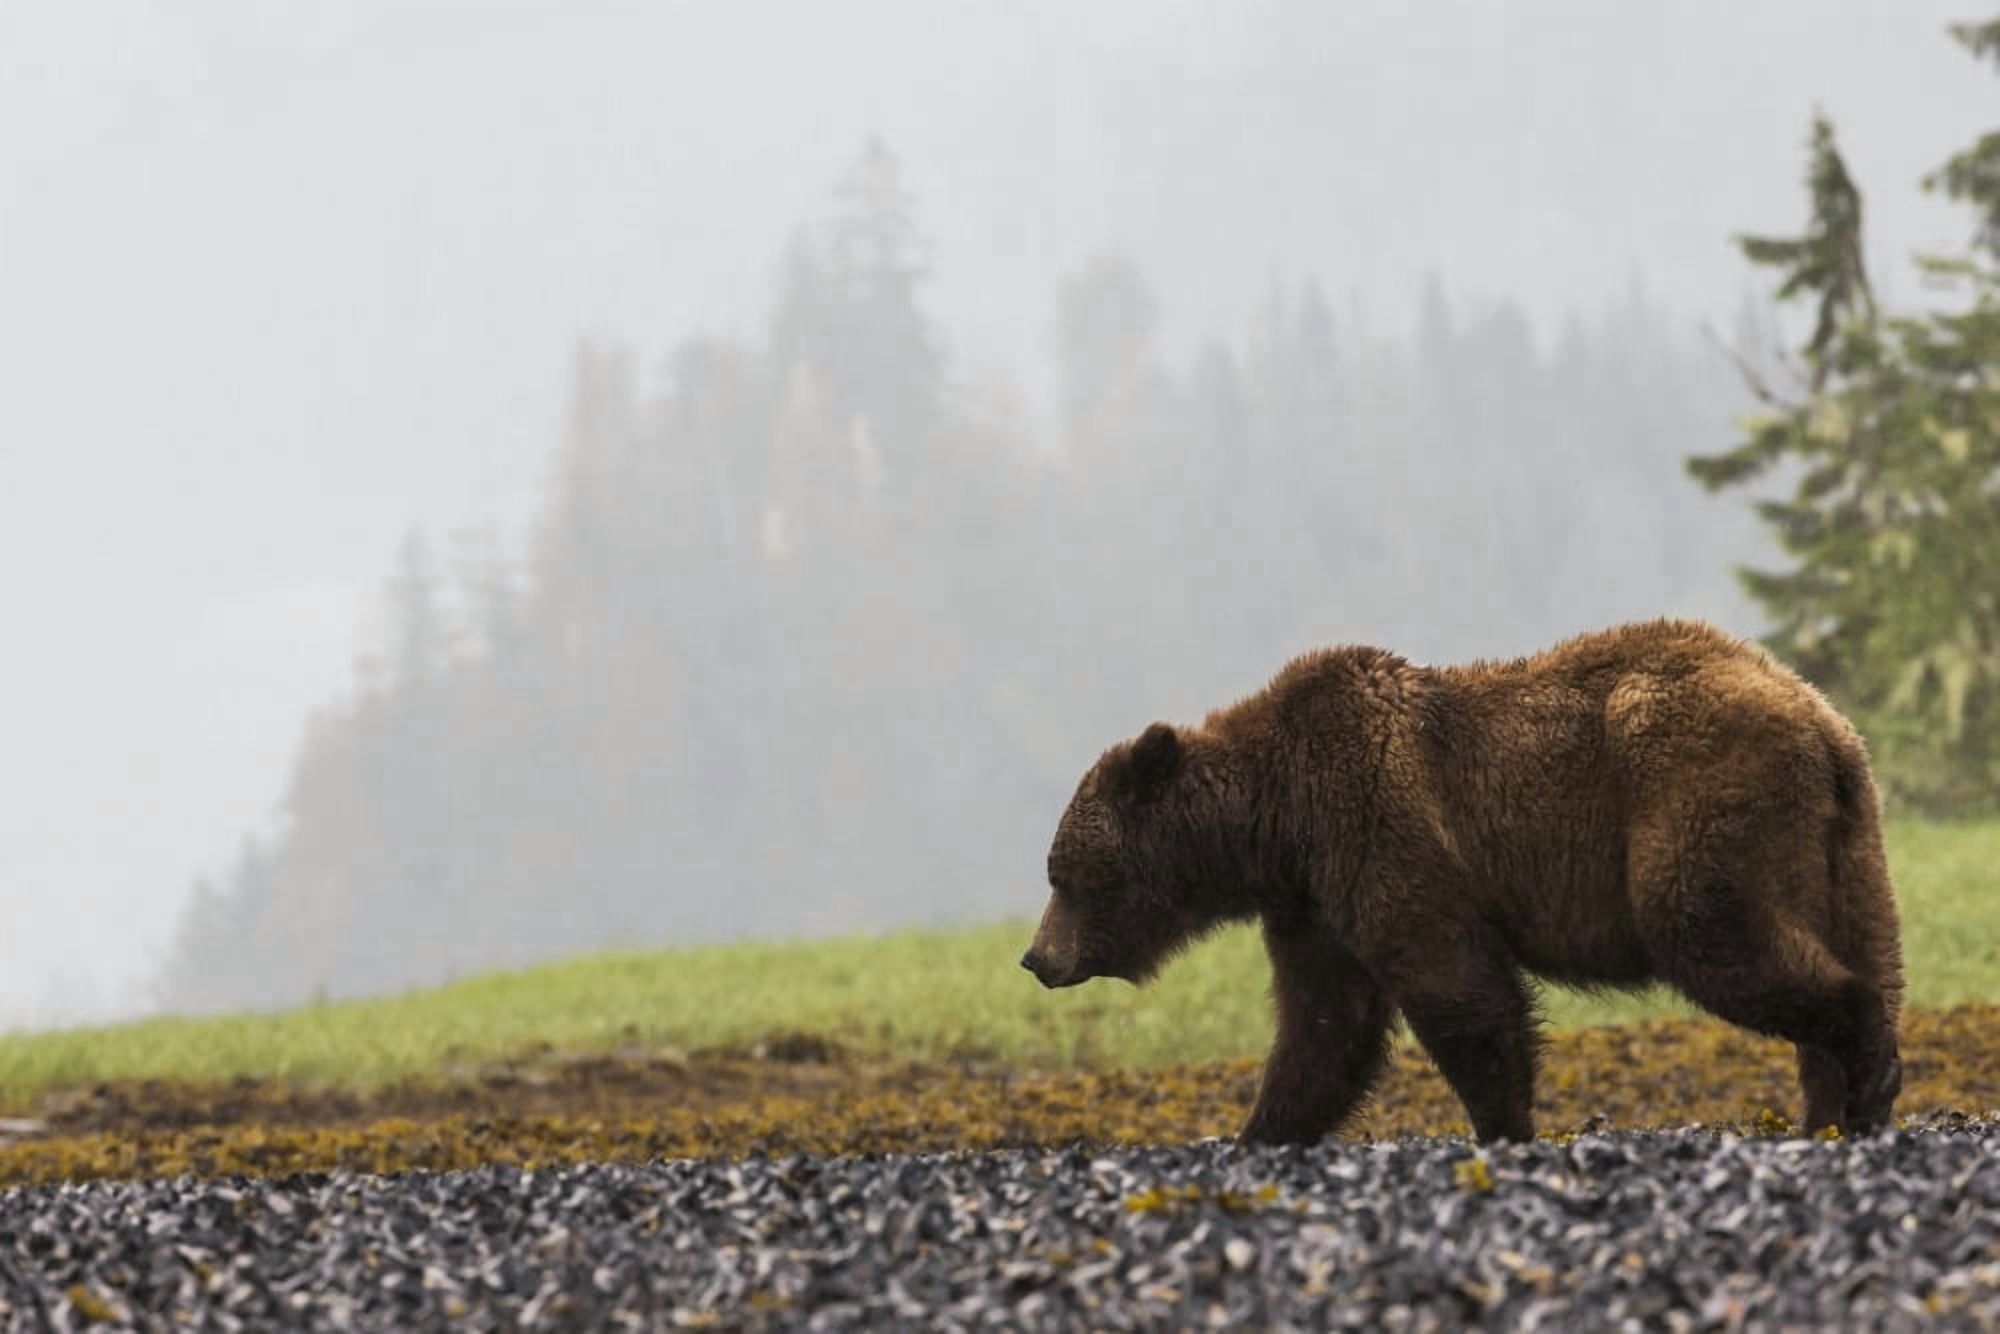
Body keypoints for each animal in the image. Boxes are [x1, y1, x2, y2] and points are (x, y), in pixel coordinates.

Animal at [1021, 619, 1904, 1143]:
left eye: (1067, 873)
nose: (1037, 958)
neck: (1279, 818)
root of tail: (1816, 717)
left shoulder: (1379, 829)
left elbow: (1455, 990)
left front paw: (1502, 1124)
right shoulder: (1312, 902)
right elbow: (1324, 1024)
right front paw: (1263, 1130)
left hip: (1694, 793)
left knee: (1714, 930)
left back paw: (1861, 1074)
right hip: (1848, 837)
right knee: (1867, 947)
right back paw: (1837, 1104)